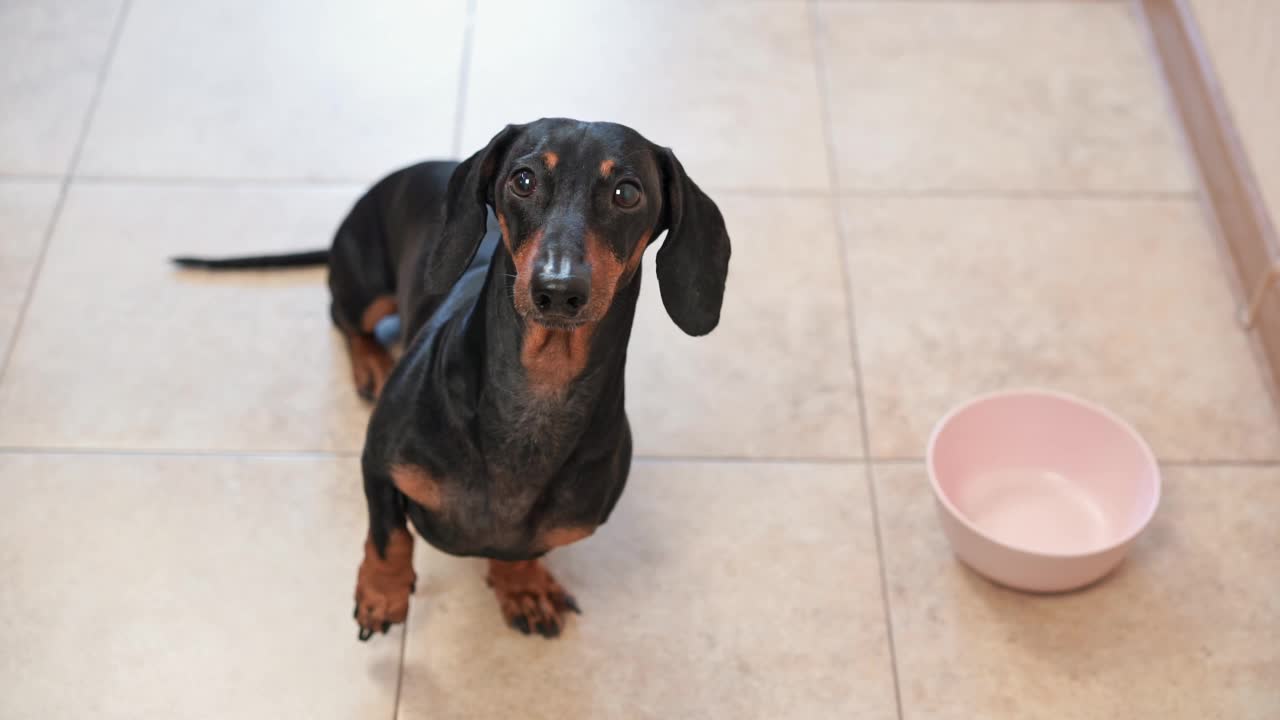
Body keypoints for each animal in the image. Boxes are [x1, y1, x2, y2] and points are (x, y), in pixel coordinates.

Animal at [177, 119, 732, 638]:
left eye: (627, 192)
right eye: (523, 180)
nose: (558, 290)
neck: (536, 393)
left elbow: (521, 550)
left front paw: (523, 588)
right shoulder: (377, 461)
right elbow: (389, 534)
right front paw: (382, 594)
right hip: (364, 288)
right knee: (343, 316)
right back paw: (371, 363)